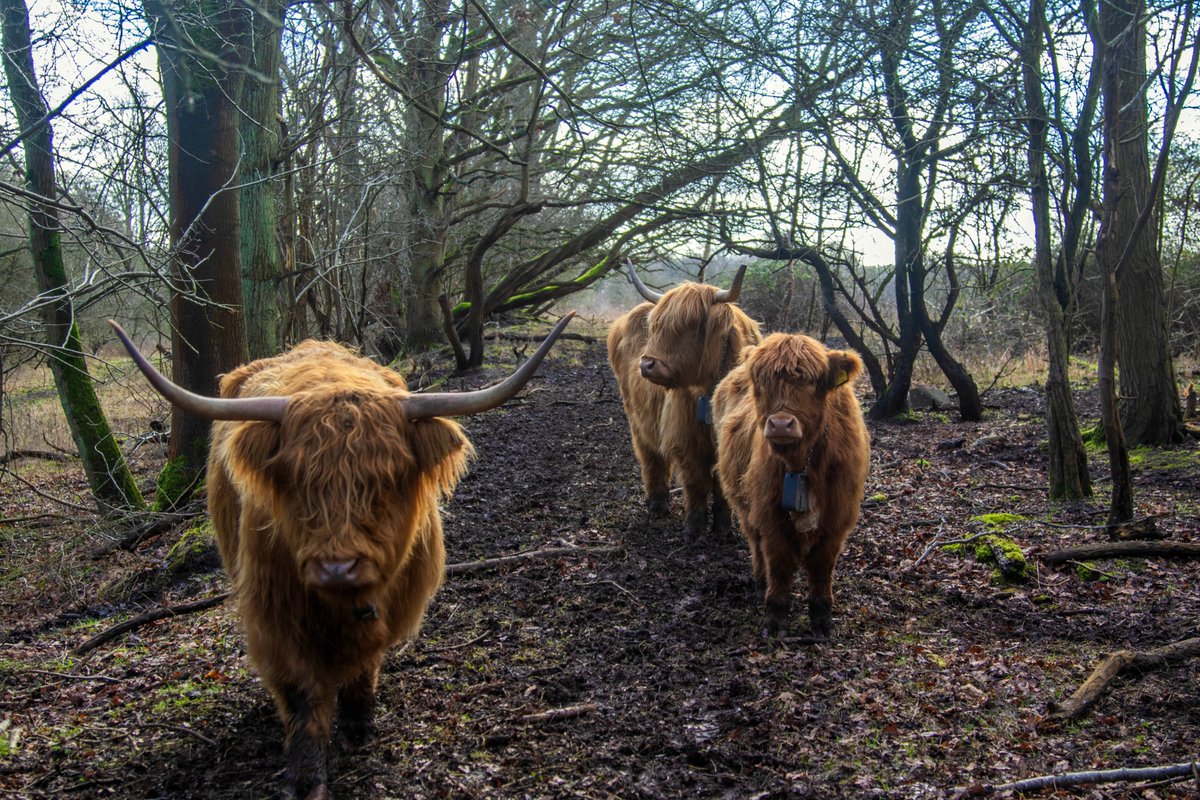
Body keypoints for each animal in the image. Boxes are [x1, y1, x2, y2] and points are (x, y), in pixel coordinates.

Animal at [112, 316, 576, 800]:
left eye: (388, 476)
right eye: (296, 478)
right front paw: (306, 776)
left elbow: (364, 664)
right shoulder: (276, 617)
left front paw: (358, 724)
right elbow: (303, 696)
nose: (336, 567)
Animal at [604, 260, 763, 542]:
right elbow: (696, 481)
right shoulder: (684, 436)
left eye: (692, 325)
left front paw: (722, 529)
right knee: (651, 457)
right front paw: (693, 529)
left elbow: (720, 485)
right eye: (656, 327)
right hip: (636, 418)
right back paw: (657, 504)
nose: (646, 364)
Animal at [710, 331, 873, 638]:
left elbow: (821, 568)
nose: (781, 424)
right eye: (762, 381)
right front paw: (775, 618)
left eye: (811, 381)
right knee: (756, 546)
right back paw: (761, 584)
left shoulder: (837, 517)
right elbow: (779, 564)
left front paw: (822, 619)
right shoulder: (770, 514)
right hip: (746, 507)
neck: (803, 464)